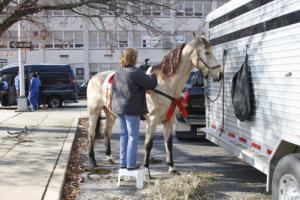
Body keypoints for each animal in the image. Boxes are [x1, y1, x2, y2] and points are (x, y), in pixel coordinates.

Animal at [86, 32, 223, 173]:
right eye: (206, 52)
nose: (220, 74)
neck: (164, 84)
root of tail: (94, 78)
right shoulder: (152, 119)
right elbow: (148, 144)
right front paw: (146, 169)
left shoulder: (170, 120)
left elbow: (168, 143)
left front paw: (172, 168)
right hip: (94, 111)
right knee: (91, 134)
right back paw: (92, 161)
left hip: (111, 114)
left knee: (107, 133)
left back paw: (109, 157)